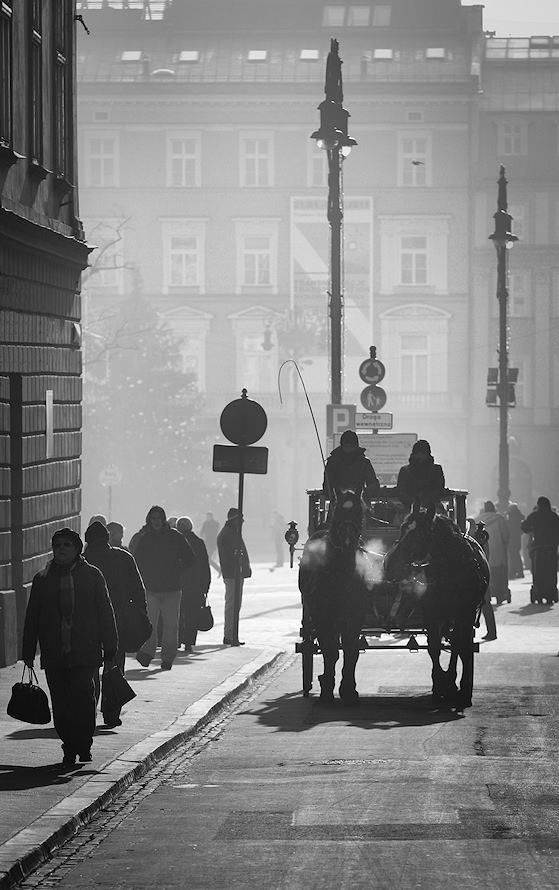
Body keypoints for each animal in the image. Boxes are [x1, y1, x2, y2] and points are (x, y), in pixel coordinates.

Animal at [298, 490, 380, 704]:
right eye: (337, 512)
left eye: (360, 511)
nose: (348, 541)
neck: (340, 572)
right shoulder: (323, 614)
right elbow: (330, 650)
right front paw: (327, 690)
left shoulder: (355, 614)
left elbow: (351, 649)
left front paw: (349, 690)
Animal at [384, 500, 490, 708]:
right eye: (402, 528)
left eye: (419, 534)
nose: (388, 562)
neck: (451, 568)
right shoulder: (431, 612)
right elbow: (433, 647)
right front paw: (440, 685)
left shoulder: (465, 614)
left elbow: (463, 648)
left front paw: (461, 689)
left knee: (458, 644)